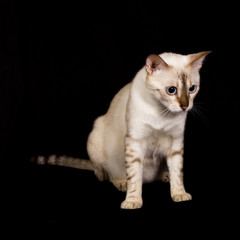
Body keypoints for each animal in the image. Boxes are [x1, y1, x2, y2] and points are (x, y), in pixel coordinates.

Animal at [32, 50, 211, 208]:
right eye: (171, 90)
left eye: (192, 89)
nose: (185, 106)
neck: (163, 113)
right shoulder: (135, 141)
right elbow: (134, 177)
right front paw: (132, 201)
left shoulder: (176, 141)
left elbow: (178, 173)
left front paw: (179, 194)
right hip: (96, 135)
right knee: (105, 173)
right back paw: (120, 181)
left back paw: (164, 176)